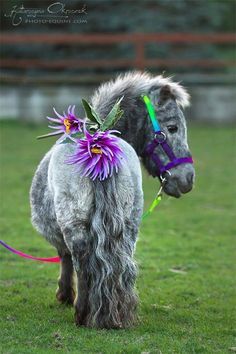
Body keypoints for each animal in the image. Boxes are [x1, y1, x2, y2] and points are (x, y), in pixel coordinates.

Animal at [30, 71, 195, 330]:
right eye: (172, 127)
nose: (188, 178)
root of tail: (99, 145)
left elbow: (65, 258)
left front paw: (64, 295)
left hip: (74, 225)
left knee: (82, 263)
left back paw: (82, 314)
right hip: (129, 225)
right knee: (121, 264)